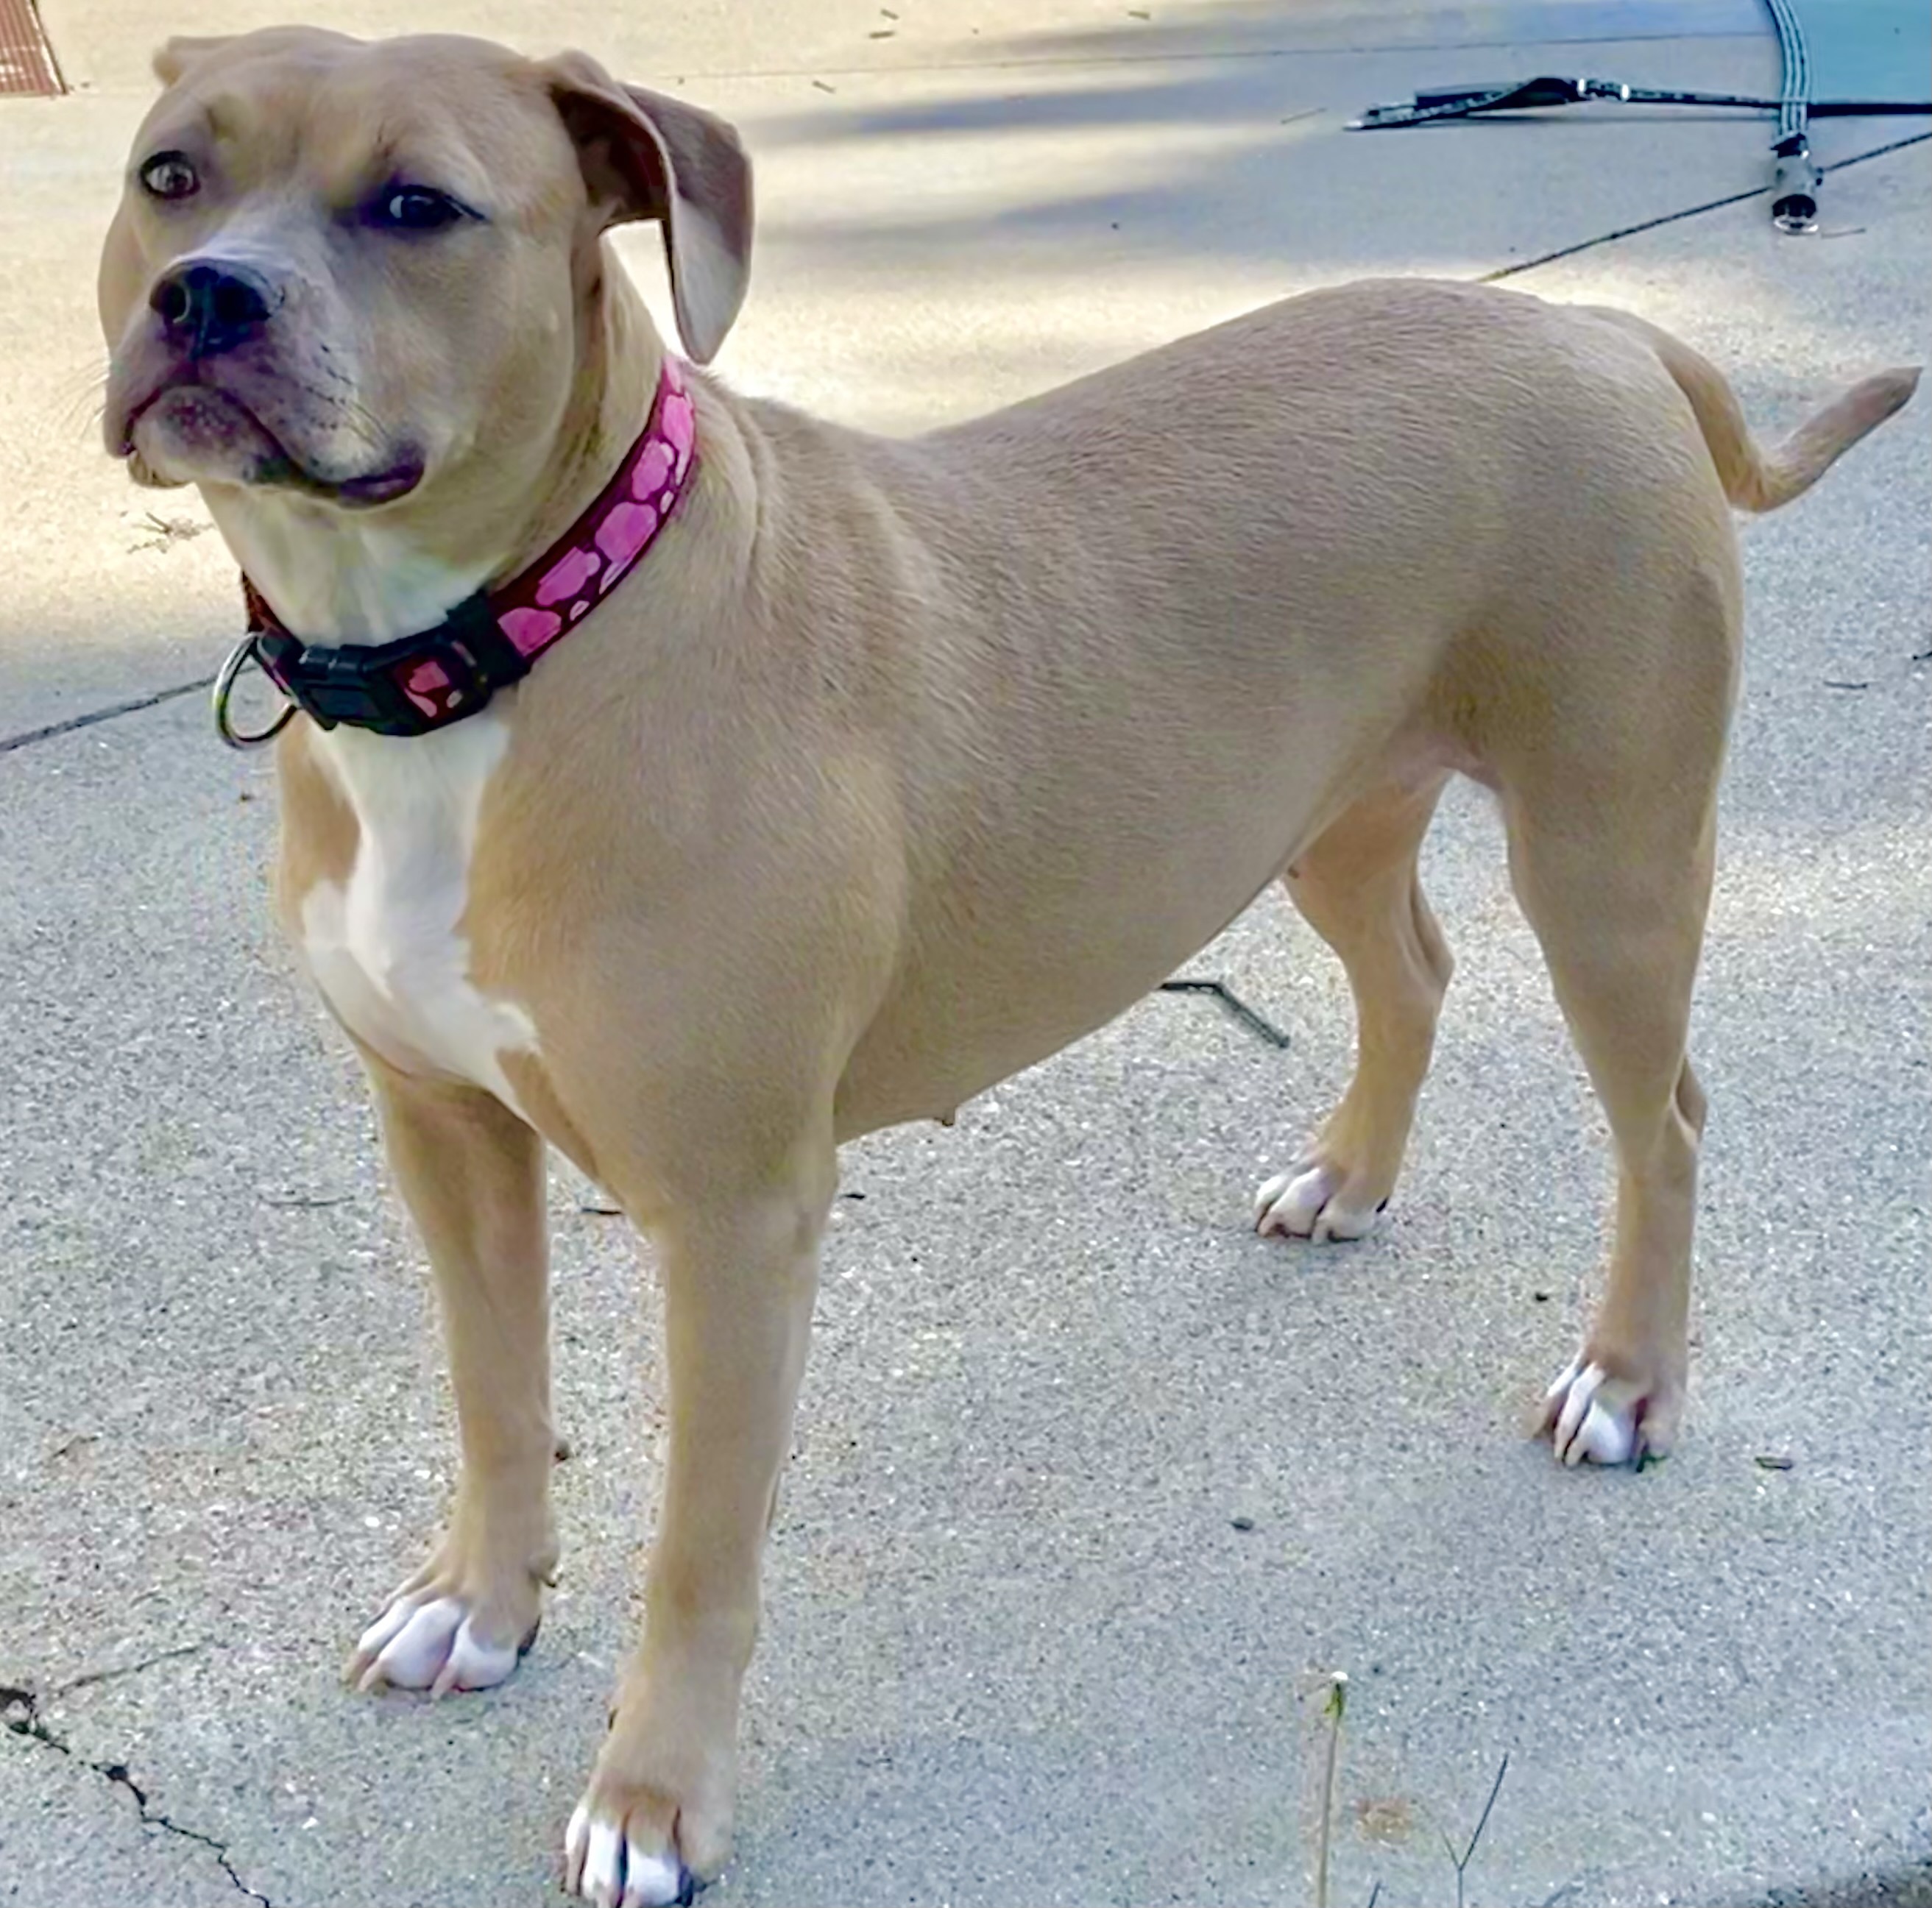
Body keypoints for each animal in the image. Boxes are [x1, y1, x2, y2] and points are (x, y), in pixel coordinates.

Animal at [102, 22, 1917, 1900]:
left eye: (420, 206)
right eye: (169, 173)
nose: (204, 295)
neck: (497, 644)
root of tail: (1606, 332)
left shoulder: (734, 1217)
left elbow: (698, 1547)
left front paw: (656, 1796)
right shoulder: (443, 1133)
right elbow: (491, 1394)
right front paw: (480, 1602)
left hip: (1609, 859)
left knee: (1665, 1122)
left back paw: (1626, 1382)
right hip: (1325, 810)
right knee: (1412, 969)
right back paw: (1346, 1178)